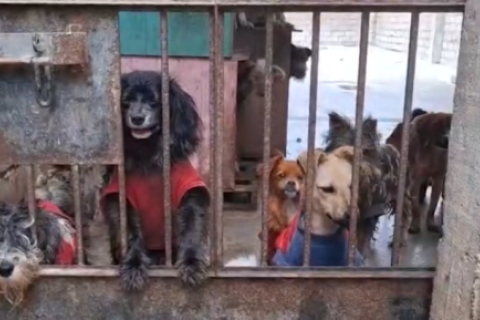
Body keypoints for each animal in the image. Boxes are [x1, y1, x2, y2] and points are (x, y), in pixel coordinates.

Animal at [101, 71, 210, 292]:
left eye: (154, 101)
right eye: (125, 102)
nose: (137, 118)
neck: (147, 155)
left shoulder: (191, 194)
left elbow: (192, 228)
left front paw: (192, 264)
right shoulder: (121, 200)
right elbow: (131, 234)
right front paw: (134, 266)